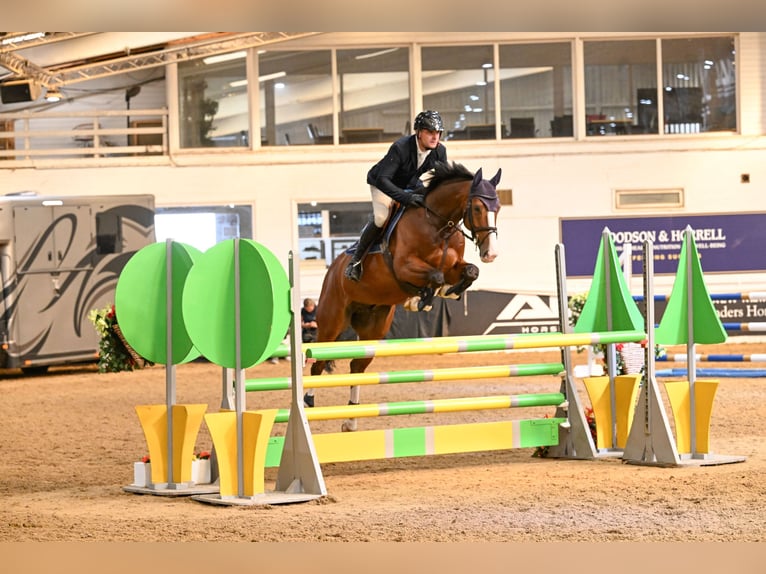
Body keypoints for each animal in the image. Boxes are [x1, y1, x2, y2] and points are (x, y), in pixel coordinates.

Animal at [306, 162, 504, 432]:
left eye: (498, 208)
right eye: (476, 207)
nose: (490, 253)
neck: (438, 225)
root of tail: (332, 270)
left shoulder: (455, 265)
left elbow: (470, 271)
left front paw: (447, 292)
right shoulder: (404, 267)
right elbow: (435, 276)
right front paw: (423, 299)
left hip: (373, 327)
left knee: (357, 366)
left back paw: (350, 420)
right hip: (331, 321)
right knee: (317, 362)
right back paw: (308, 401)